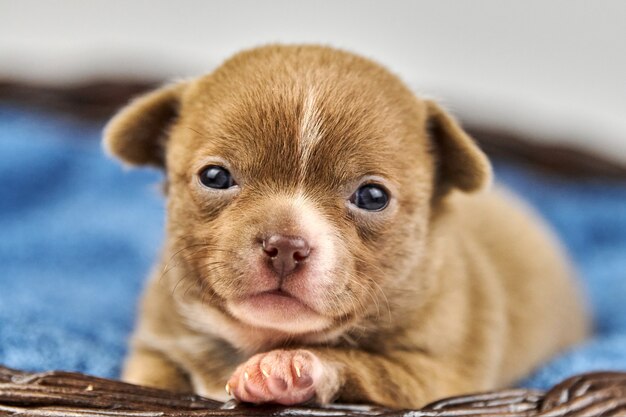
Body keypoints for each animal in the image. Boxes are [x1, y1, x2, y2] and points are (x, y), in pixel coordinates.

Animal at [102, 44, 584, 406]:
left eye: (372, 196)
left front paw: (285, 367)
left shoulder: (437, 377)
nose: (285, 245)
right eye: (215, 177)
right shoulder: (156, 345)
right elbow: (151, 379)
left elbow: (368, 367)